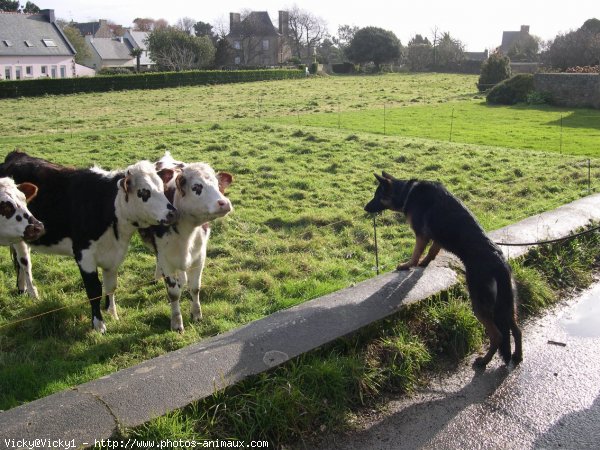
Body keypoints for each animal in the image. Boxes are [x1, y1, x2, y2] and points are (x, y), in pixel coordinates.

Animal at [0, 150, 177, 330]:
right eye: (144, 192)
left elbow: (111, 286)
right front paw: (99, 325)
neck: (106, 206)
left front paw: (113, 314)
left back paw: (21, 289)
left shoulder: (114, 255)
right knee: (25, 264)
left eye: (162, 188)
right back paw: (33, 293)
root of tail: (16, 154)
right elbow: (94, 290)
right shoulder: (84, 255)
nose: (172, 213)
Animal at [140, 153, 232, 332]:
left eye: (218, 185)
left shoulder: (199, 256)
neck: (186, 232)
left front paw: (196, 314)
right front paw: (177, 323)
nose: (224, 203)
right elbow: (174, 294)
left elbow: (195, 287)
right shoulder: (165, 259)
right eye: (197, 187)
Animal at [364, 171, 524, 368]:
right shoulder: (436, 237)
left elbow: (416, 253)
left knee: (498, 336)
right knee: (517, 330)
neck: (407, 192)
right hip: (506, 305)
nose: (365, 207)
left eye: (376, 196)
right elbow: (433, 250)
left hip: (480, 305)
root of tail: (499, 262)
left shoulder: (421, 235)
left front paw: (408, 265)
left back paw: (484, 361)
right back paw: (517, 356)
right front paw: (424, 263)